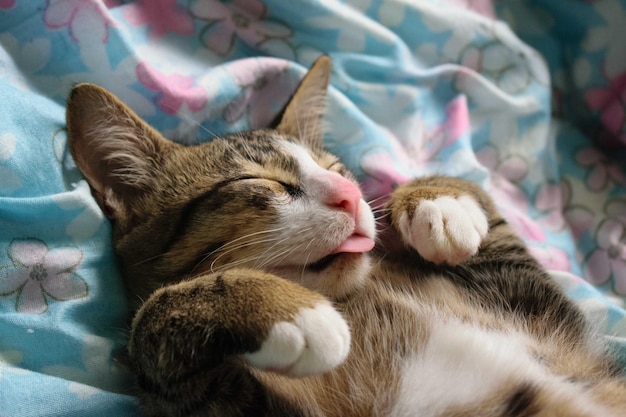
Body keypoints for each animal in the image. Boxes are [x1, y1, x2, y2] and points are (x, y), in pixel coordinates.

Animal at [66, 56, 624, 416]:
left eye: (336, 169)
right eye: (260, 181)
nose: (351, 196)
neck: (356, 295)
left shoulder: (543, 315)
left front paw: (439, 202)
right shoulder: (221, 403)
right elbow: (152, 318)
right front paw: (292, 312)